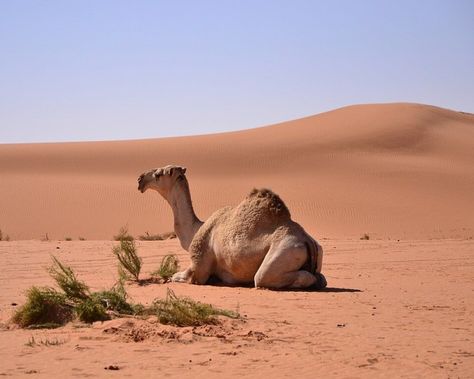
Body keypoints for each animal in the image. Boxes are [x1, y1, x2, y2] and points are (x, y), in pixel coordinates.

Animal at [137, 164, 326, 290]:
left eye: (158, 174)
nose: (140, 179)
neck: (195, 230)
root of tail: (306, 240)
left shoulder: (198, 269)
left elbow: (176, 276)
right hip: (318, 250)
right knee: (321, 278)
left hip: (284, 252)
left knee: (270, 277)